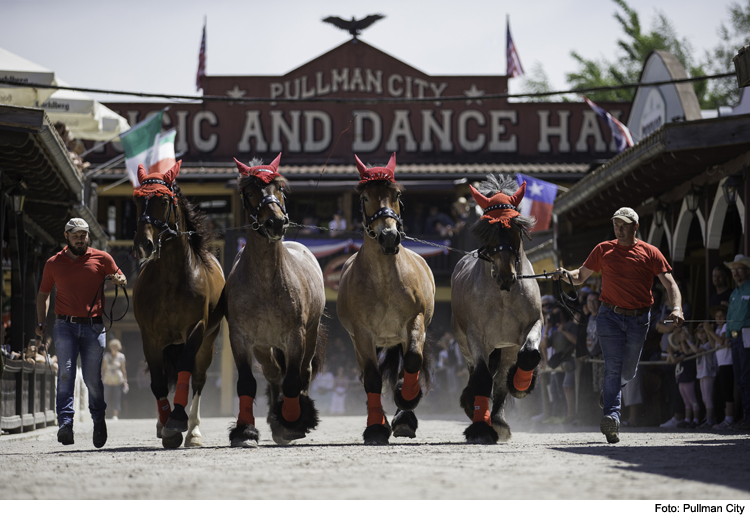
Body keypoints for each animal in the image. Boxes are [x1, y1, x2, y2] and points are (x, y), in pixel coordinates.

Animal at [132, 160, 226, 446]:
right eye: (137, 200)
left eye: (163, 199)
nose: (143, 243)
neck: (171, 278)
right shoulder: (150, 336)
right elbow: (158, 381)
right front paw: (165, 426)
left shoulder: (195, 330)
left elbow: (186, 370)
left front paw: (177, 420)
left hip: (208, 341)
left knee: (198, 379)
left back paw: (193, 429)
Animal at [226, 155, 326, 448]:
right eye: (249, 192)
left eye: (279, 188)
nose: (275, 223)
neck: (265, 282)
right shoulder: (240, 337)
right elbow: (247, 383)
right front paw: (245, 432)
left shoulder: (295, 336)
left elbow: (293, 379)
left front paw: (292, 424)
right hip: (264, 344)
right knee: (272, 373)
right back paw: (274, 416)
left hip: (309, 334)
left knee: (302, 372)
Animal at [340, 154, 438, 446]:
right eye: (365, 198)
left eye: (397, 195)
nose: (389, 236)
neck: (384, 281)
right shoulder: (362, 333)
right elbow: (372, 379)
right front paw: (376, 427)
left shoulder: (414, 322)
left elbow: (413, 361)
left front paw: (406, 401)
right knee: (367, 375)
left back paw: (404, 416)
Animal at [450, 175, 544, 444]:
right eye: (486, 231)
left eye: (515, 228)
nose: (505, 276)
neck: (502, 297)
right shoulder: (476, 336)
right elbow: (482, 378)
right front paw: (481, 427)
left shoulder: (532, 325)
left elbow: (529, 354)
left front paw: (521, 385)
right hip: (467, 344)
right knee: (478, 375)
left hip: (506, 347)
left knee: (501, 378)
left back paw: (500, 421)